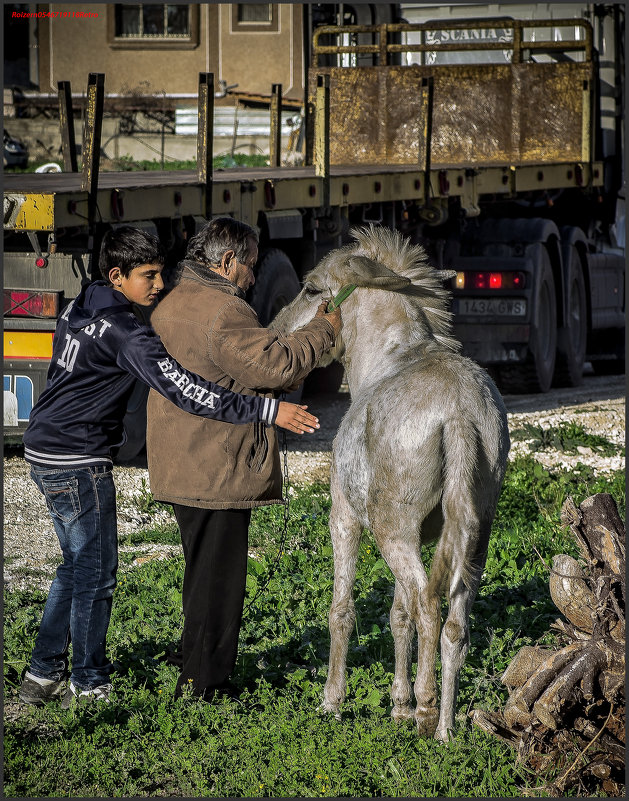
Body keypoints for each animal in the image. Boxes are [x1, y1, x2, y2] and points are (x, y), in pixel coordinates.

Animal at [272, 225, 508, 736]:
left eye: (311, 288)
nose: (275, 334)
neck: (389, 357)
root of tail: (458, 414)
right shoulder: (423, 535)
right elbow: (398, 615)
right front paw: (397, 704)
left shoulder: (345, 518)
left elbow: (342, 610)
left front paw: (333, 701)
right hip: (473, 537)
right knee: (452, 624)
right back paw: (444, 729)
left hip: (390, 531)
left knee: (429, 606)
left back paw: (426, 708)